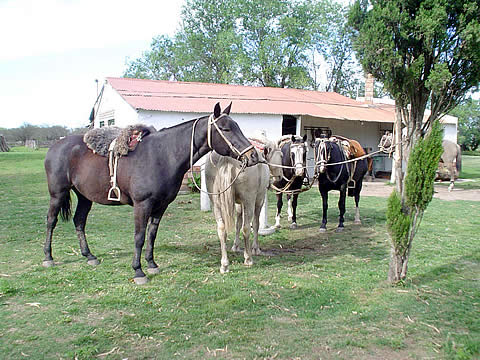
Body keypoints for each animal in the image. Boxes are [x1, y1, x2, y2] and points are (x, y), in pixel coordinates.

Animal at [204, 141, 284, 272]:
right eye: (281, 155)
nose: (280, 177)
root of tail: (227, 158)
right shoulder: (258, 200)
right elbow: (255, 224)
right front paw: (255, 248)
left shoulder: (239, 204)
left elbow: (237, 224)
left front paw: (235, 246)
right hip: (249, 200)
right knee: (246, 228)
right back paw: (248, 258)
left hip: (216, 202)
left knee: (221, 229)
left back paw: (224, 264)